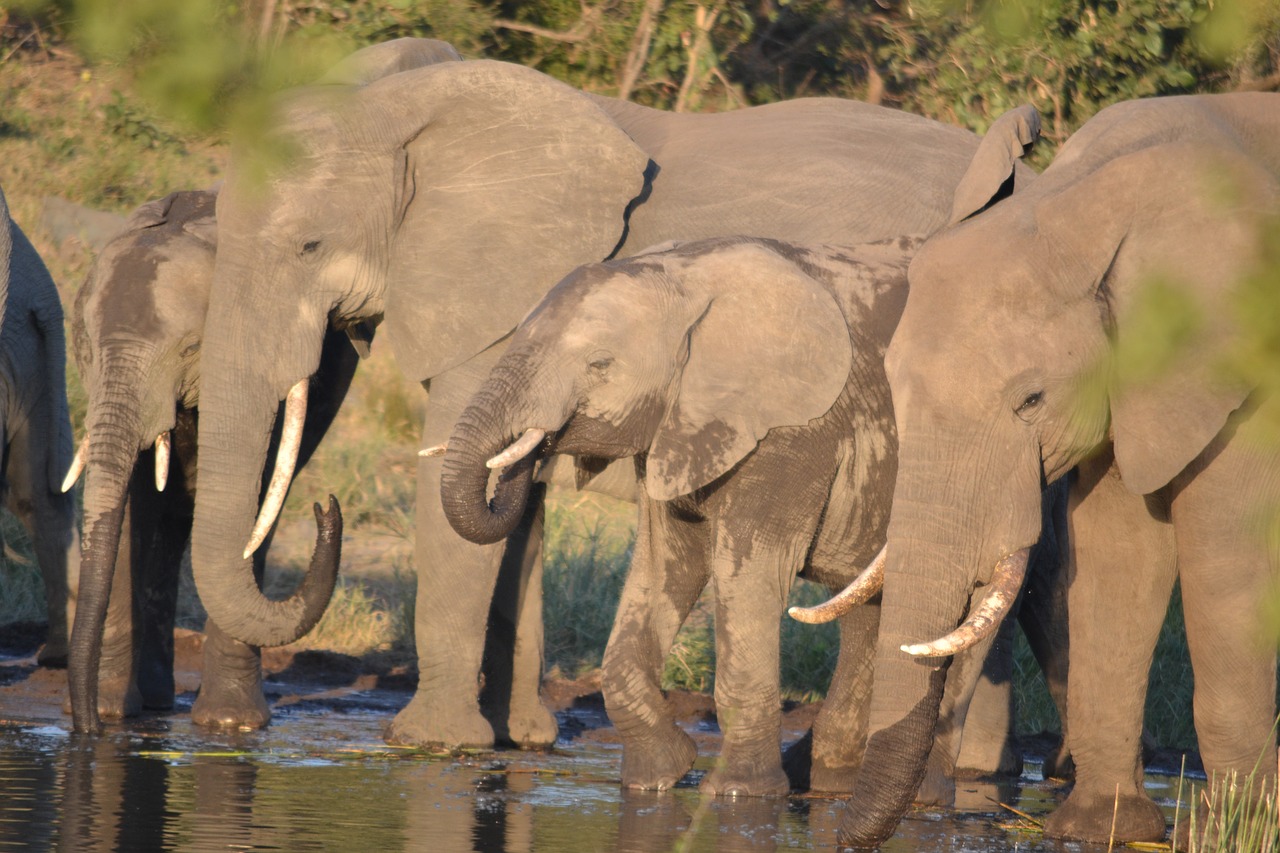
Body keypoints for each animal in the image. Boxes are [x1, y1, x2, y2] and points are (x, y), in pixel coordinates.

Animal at [64, 188, 355, 732]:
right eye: (85, 345)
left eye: (193, 349)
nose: (85, 730)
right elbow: (129, 499)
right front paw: (113, 712)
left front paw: (229, 726)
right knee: (169, 517)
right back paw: (154, 701)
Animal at [180, 36, 1044, 747]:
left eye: (309, 245)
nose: (326, 507)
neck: (417, 105)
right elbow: (508, 503)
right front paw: (522, 741)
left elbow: (457, 496)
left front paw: (431, 745)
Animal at [437, 235, 1070, 794]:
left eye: (599, 364)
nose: (531, 452)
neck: (686, 278)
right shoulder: (680, 423)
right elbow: (664, 566)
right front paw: (660, 776)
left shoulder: (796, 431)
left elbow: (747, 572)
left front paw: (739, 795)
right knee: (873, 613)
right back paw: (828, 779)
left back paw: (917, 799)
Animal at [829, 92, 1280, 845]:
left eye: (1032, 400)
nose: (836, 834)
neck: (1092, 198)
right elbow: (1115, 559)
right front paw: (1101, 827)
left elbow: (1229, 565)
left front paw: (1241, 830)